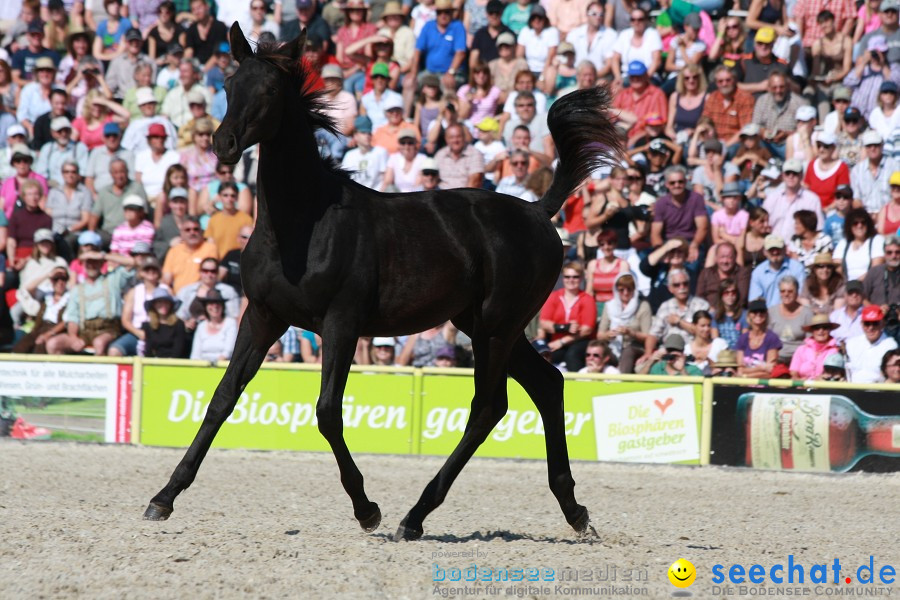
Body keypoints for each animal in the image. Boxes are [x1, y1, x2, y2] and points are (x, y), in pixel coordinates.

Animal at [144, 22, 624, 540]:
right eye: (231, 85)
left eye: (270, 90)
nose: (224, 144)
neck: (302, 223)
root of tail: (537, 211)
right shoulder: (263, 317)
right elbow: (221, 399)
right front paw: (163, 498)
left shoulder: (341, 322)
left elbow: (327, 412)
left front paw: (366, 509)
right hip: (485, 324)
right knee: (547, 385)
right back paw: (574, 512)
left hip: (497, 327)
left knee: (488, 407)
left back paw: (414, 517)